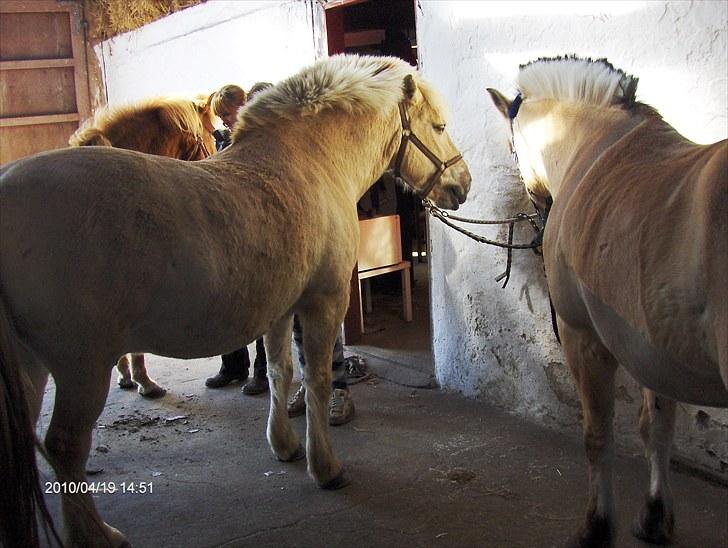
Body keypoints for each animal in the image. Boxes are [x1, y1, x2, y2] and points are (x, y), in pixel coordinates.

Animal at [490, 56, 728, 548]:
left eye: (512, 147)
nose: (541, 211)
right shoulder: (656, 348)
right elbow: (657, 430)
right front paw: (654, 517)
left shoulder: (584, 338)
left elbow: (598, 435)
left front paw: (597, 526)